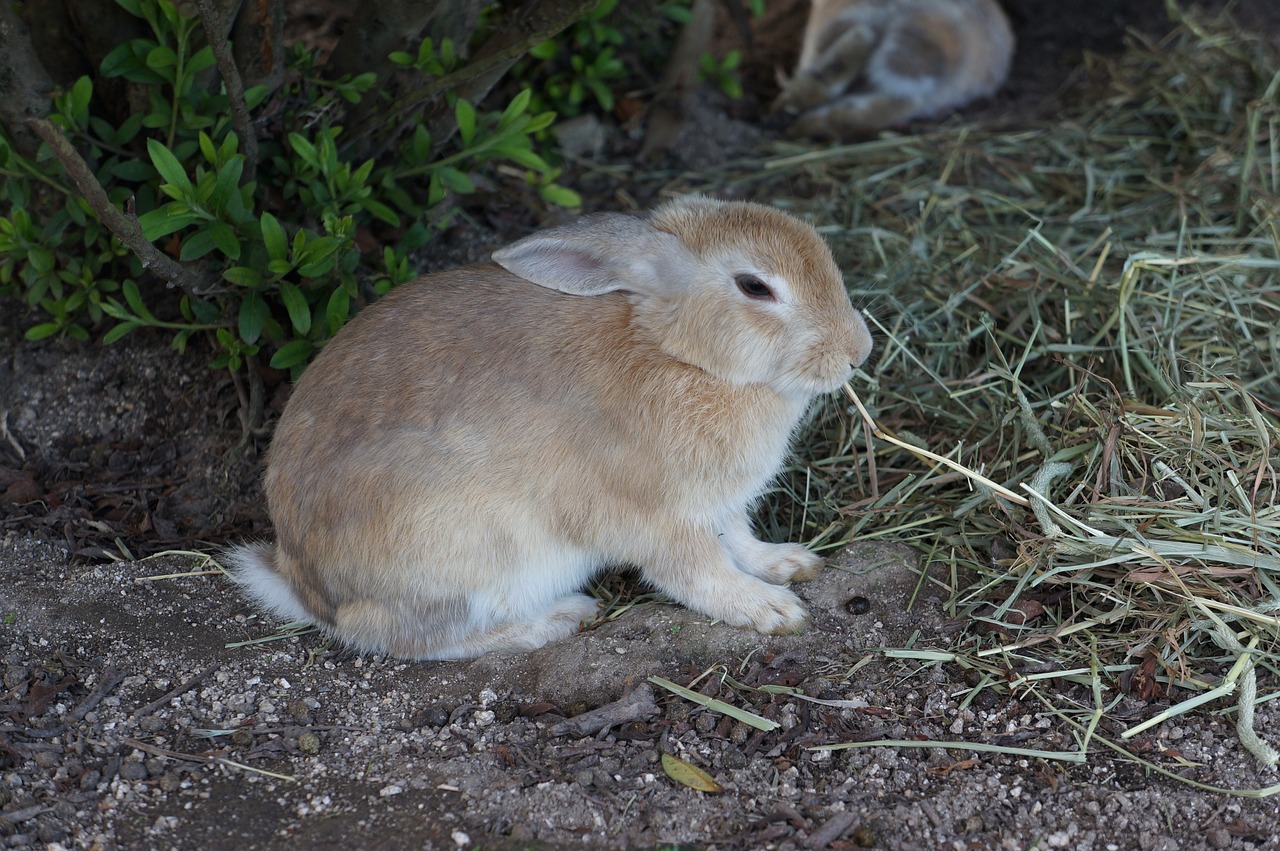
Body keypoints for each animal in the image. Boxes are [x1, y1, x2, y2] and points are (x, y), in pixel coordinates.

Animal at [225, 195, 875, 660]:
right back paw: (558, 620)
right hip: (471, 549)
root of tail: (302, 584)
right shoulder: (657, 518)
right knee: (407, 639)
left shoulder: (720, 504)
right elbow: (700, 571)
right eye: (754, 286)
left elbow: (740, 539)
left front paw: (788, 564)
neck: (678, 354)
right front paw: (772, 610)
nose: (858, 351)